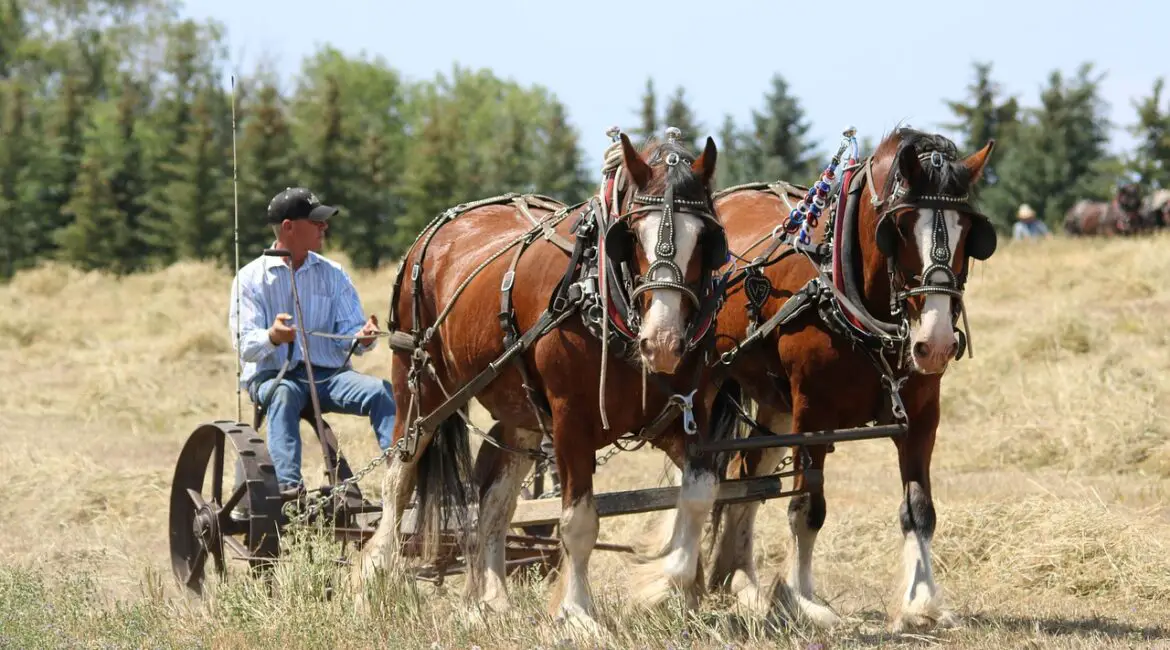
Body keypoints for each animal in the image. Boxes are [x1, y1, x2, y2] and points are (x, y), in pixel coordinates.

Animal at [351, 132, 725, 635]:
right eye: (631, 236)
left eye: (705, 238)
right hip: (419, 385)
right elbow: (579, 521)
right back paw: (373, 577)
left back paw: (490, 599)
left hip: (521, 413)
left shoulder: (683, 418)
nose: (663, 342)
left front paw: (670, 590)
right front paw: (578, 613)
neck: (603, 294)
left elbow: (701, 496)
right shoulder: (570, 423)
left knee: (495, 497)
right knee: (399, 475)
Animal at [697, 125, 992, 631]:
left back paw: (739, 581)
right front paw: (801, 598)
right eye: (899, 229)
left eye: (970, 232)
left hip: (774, 406)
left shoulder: (922, 415)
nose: (935, 344)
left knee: (745, 476)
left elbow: (920, 509)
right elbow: (806, 507)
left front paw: (922, 602)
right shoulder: (812, 415)